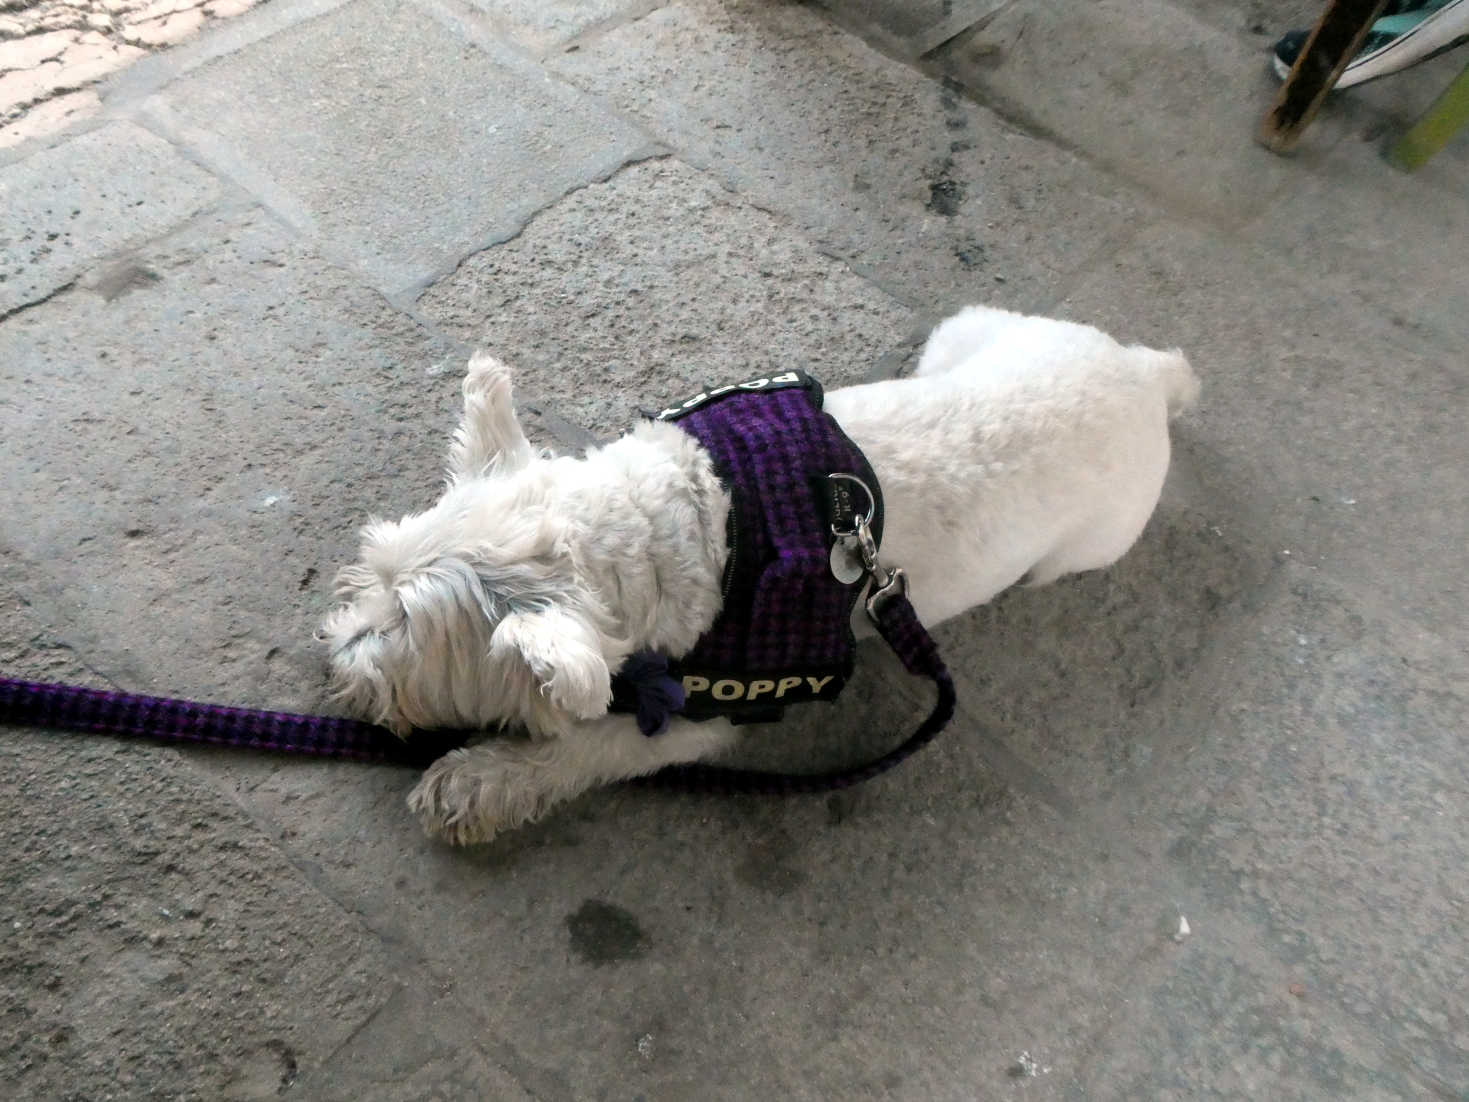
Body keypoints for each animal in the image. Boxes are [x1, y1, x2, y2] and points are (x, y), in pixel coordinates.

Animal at [318, 307, 1192, 840]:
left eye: (403, 629)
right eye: (369, 575)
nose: (332, 659)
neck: (699, 524)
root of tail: (1147, 374)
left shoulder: (702, 714)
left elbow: (584, 749)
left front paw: (475, 784)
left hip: (1087, 543)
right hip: (974, 330)